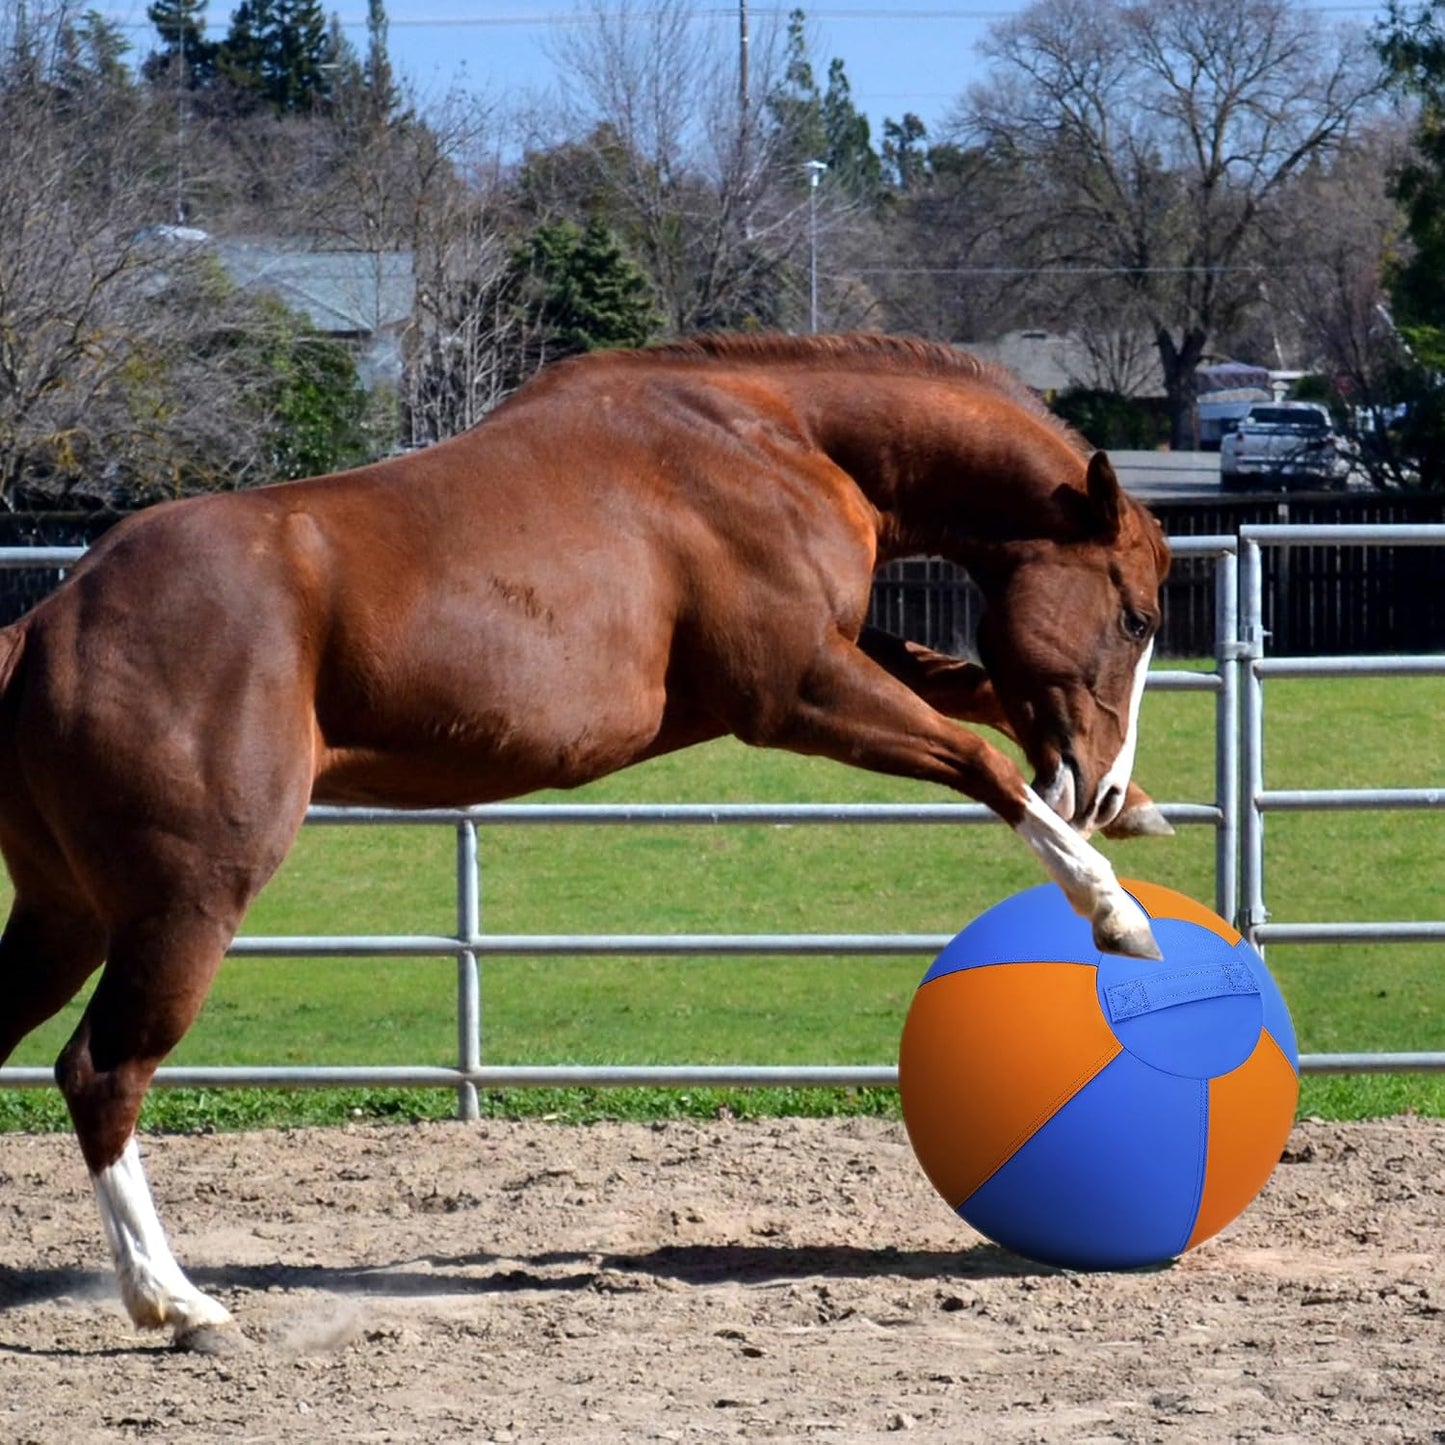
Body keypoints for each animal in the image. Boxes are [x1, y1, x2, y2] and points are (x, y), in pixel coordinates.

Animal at [0, 333, 1170, 1351]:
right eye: (1138, 616)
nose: (1099, 780)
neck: (774, 435)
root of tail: (49, 623)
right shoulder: (794, 688)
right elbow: (977, 760)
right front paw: (1114, 908)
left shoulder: (825, 658)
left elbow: (960, 683)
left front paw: (1136, 810)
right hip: (186, 903)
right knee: (102, 1070)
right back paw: (177, 1303)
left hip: (64, 915)